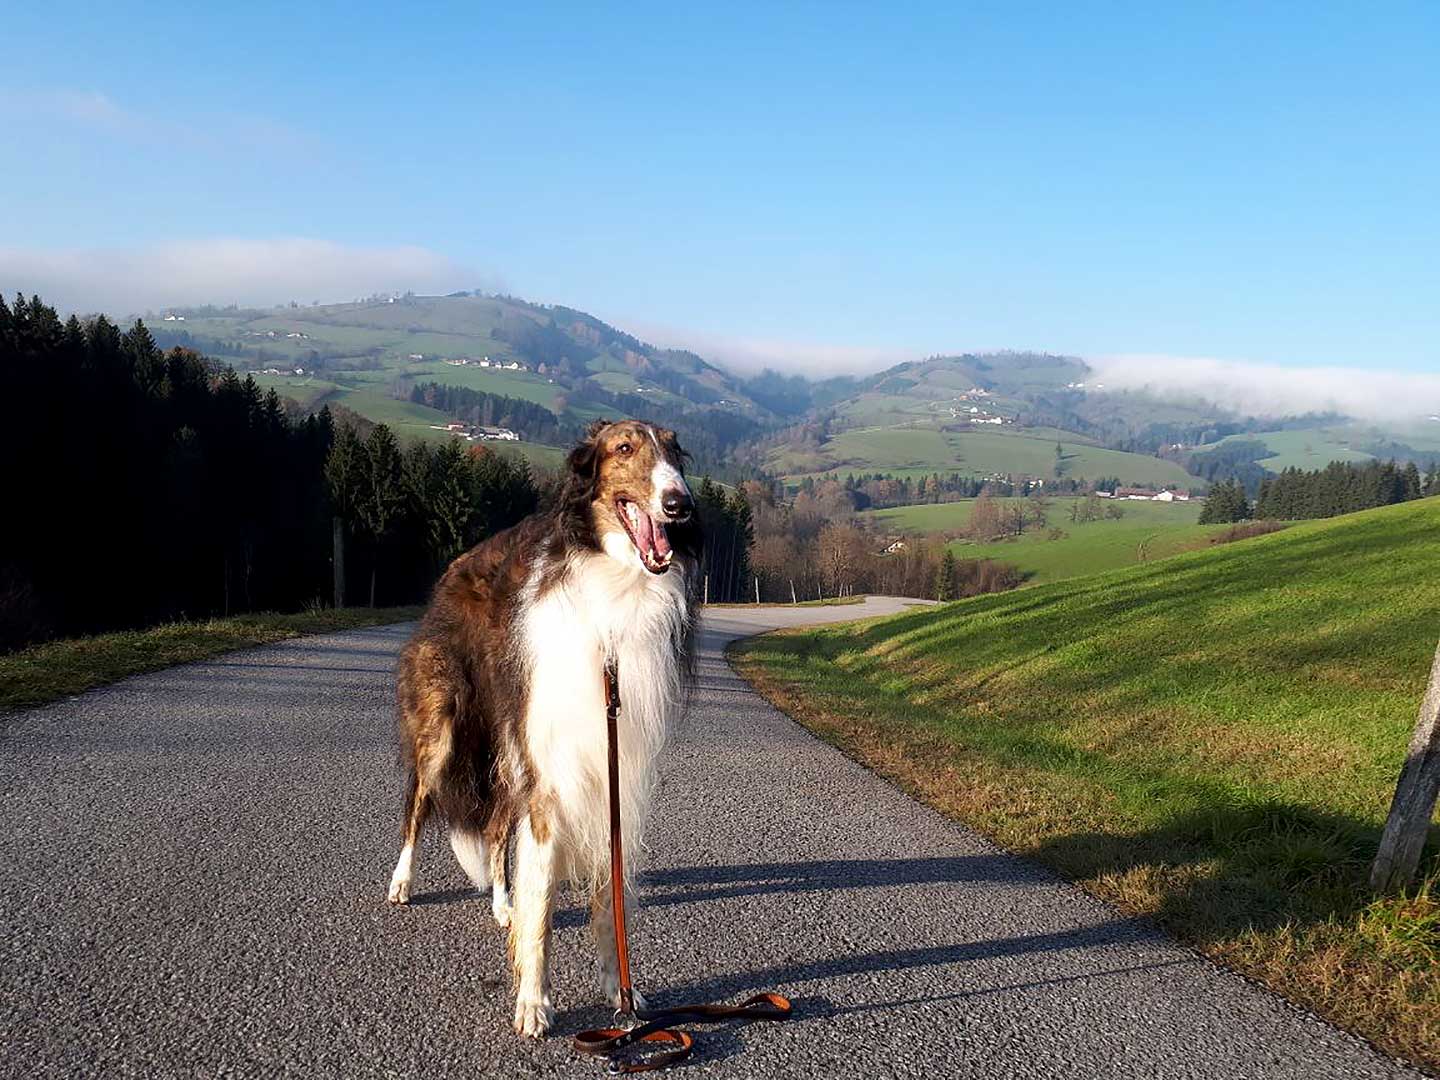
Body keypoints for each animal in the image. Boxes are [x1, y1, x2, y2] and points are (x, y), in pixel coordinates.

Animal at [380, 417, 699, 1042]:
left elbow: (605, 900)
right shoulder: (550, 776)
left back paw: (504, 904)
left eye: (675, 452)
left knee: (496, 832)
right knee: (418, 805)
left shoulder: (611, 770)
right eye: (625, 447)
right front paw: (532, 1002)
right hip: (446, 732)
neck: (613, 592)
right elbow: (544, 907)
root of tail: (454, 568)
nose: (680, 505)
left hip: (509, 750)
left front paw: (621, 995)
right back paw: (401, 882)